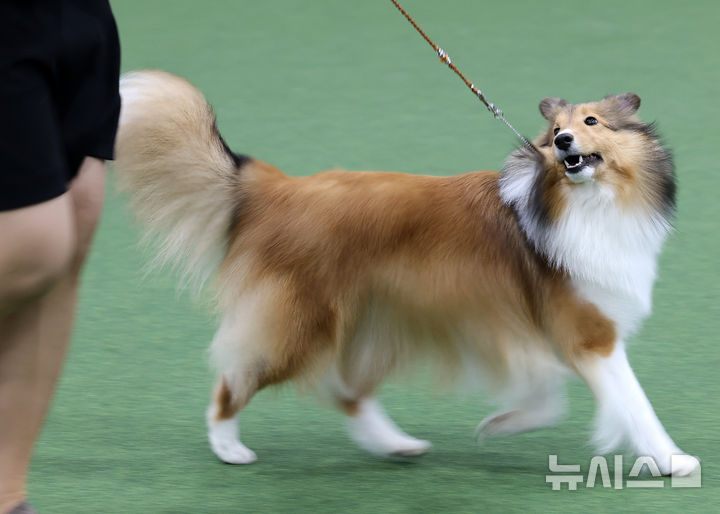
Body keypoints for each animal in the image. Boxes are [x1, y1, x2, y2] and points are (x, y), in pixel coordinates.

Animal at [114, 70, 698, 476]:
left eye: (591, 123)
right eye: (556, 129)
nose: (562, 144)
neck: (586, 203)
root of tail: (277, 188)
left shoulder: (529, 329)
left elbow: (546, 394)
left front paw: (499, 424)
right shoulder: (588, 332)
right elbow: (633, 402)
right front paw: (672, 460)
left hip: (374, 320)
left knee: (346, 392)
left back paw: (396, 444)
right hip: (303, 324)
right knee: (235, 378)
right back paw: (229, 447)